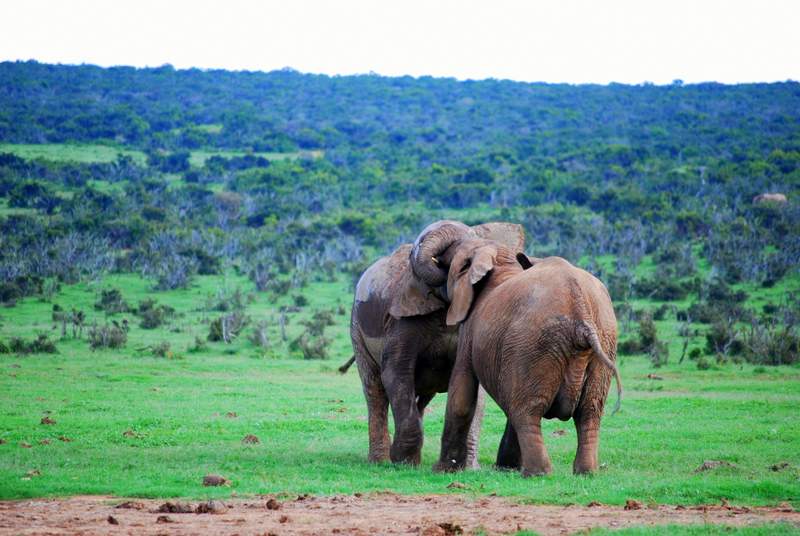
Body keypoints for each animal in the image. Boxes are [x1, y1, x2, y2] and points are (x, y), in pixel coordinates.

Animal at [348, 218, 524, 464]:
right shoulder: (402, 320)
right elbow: (395, 371)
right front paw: (401, 461)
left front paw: (467, 467)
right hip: (357, 329)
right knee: (374, 389)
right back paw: (381, 461)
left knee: (420, 397)